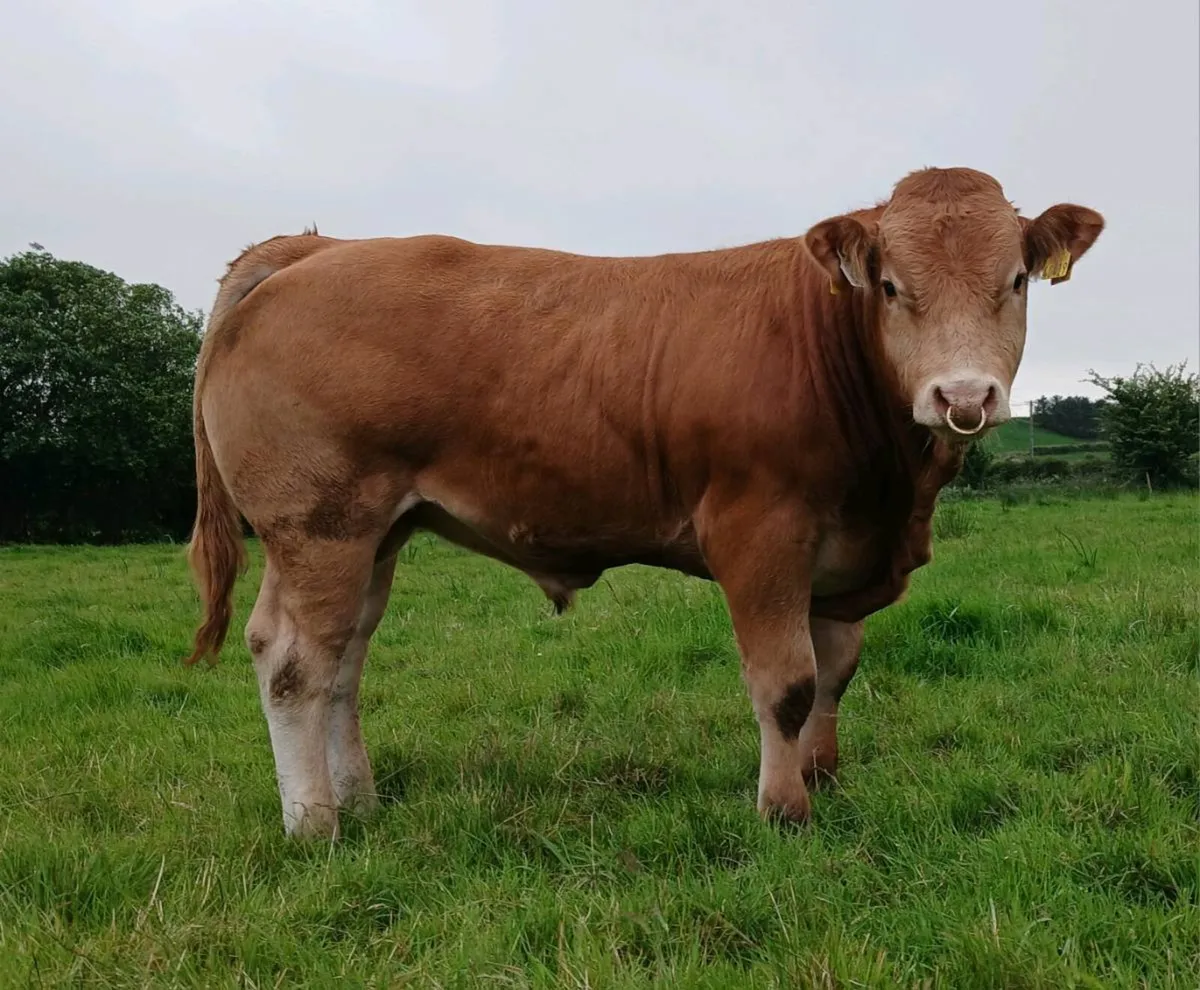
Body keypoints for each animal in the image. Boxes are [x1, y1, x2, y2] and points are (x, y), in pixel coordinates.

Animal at [185, 167, 1103, 839]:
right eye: (888, 285)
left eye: (1016, 280)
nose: (964, 395)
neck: (891, 488)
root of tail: (316, 249)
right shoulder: (760, 532)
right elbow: (787, 681)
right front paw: (784, 812)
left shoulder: (843, 558)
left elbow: (835, 675)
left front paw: (823, 778)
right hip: (320, 525)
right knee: (297, 663)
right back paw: (315, 824)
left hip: (373, 532)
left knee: (339, 658)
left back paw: (360, 800)